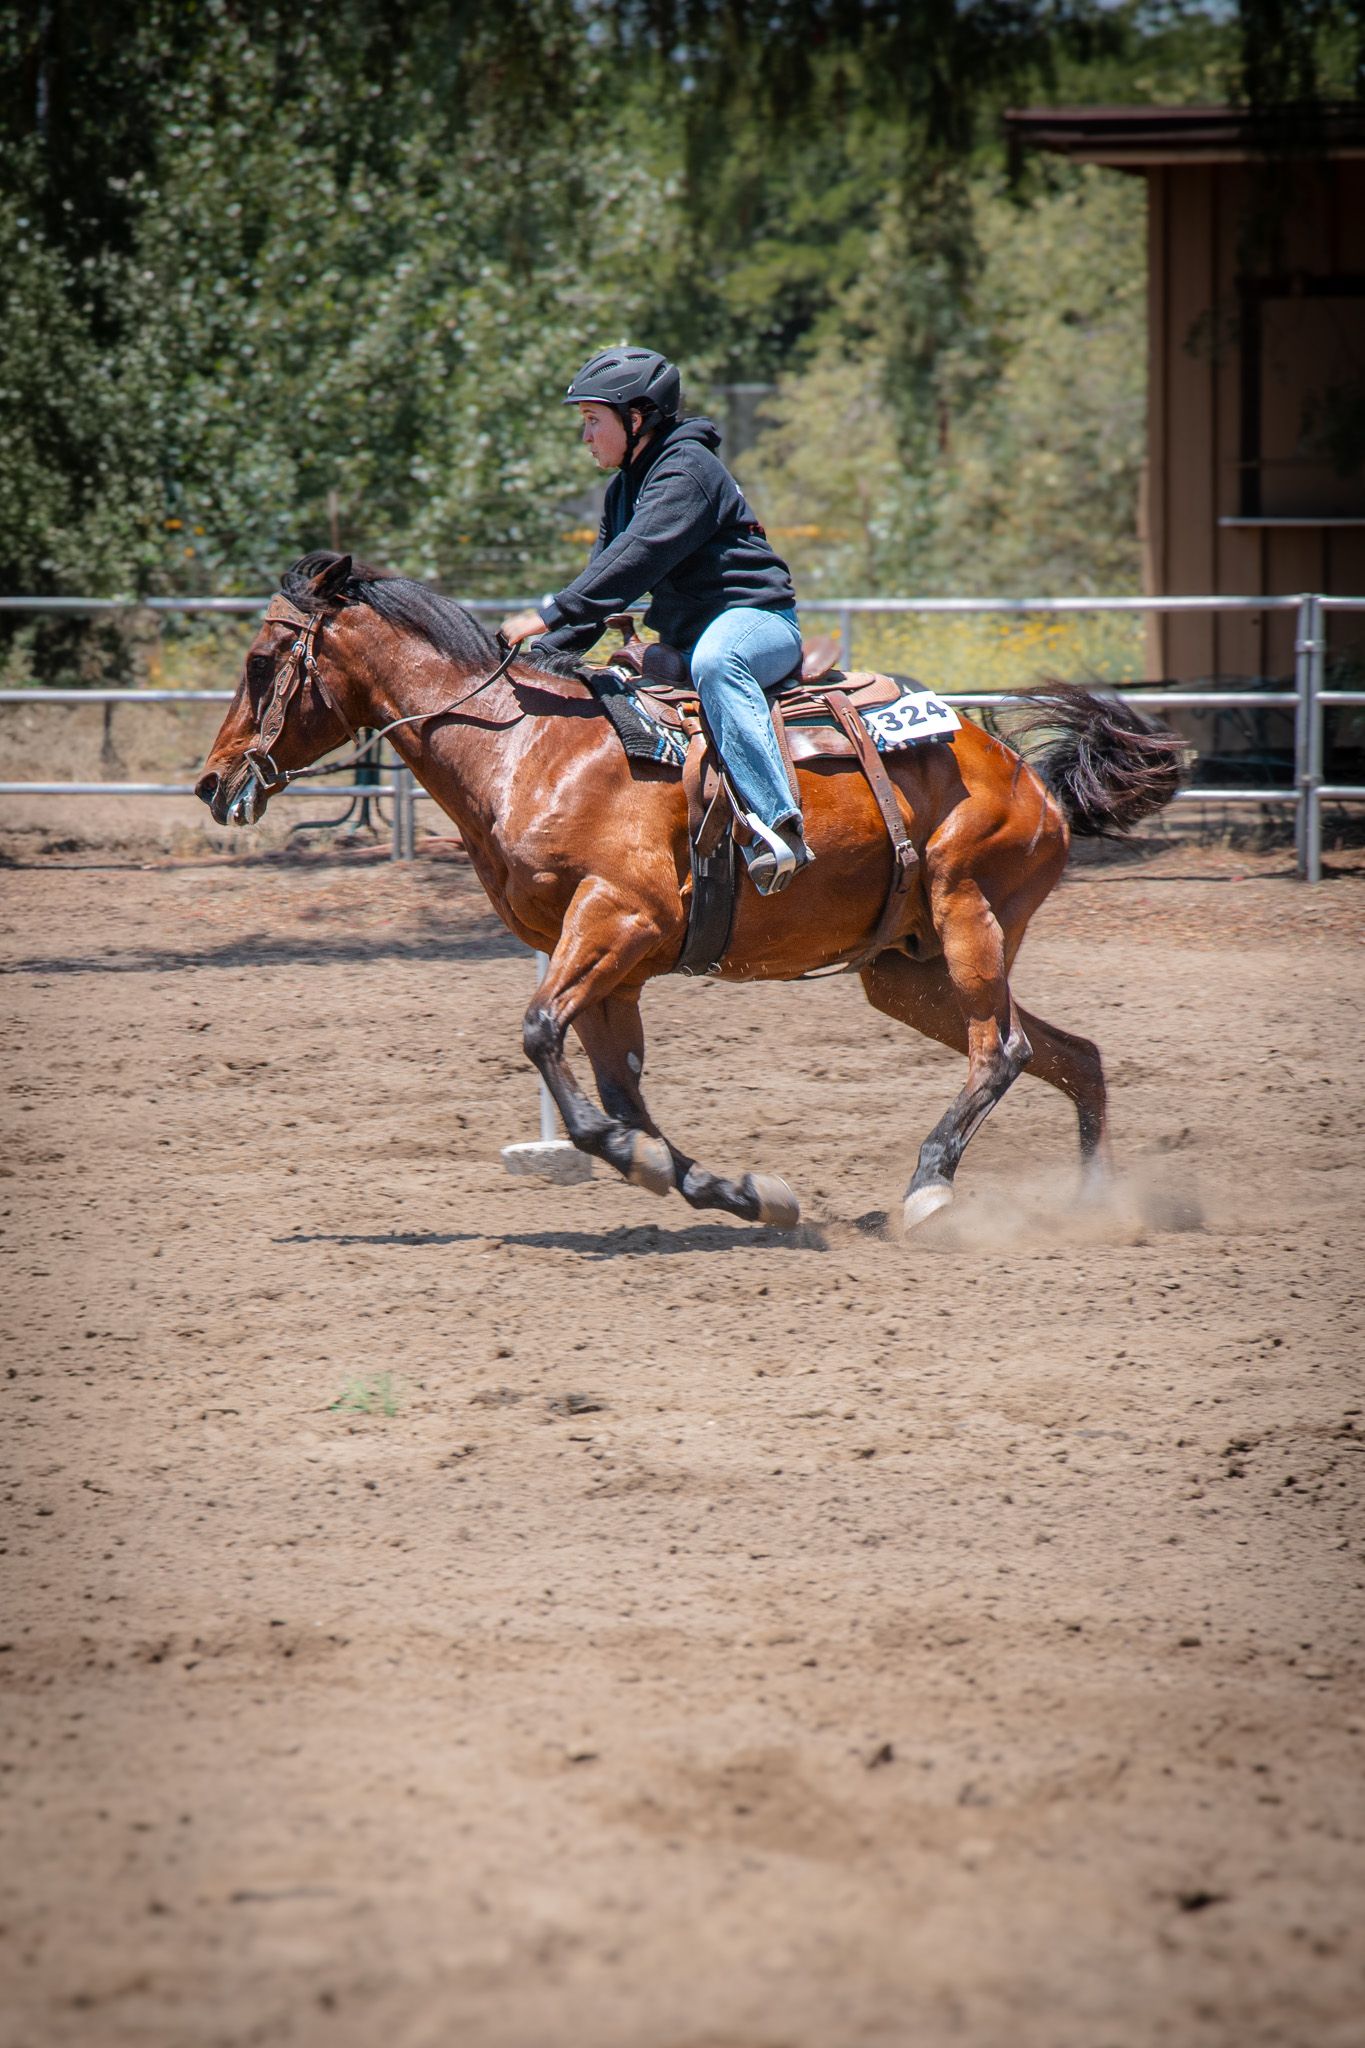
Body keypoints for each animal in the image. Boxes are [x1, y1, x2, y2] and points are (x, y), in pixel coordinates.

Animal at [196, 551, 1184, 1233]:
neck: (526, 746)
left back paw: (930, 1189)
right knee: (1070, 1054)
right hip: (907, 971)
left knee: (1003, 1049)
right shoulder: (613, 966)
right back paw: (1095, 1203)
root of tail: (1029, 778)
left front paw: (663, 1169)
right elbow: (619, 1096)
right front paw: (736, 1191)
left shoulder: (620, 920)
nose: (211, 782)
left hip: (966, 911)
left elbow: (543, 1036)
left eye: (261, 662)